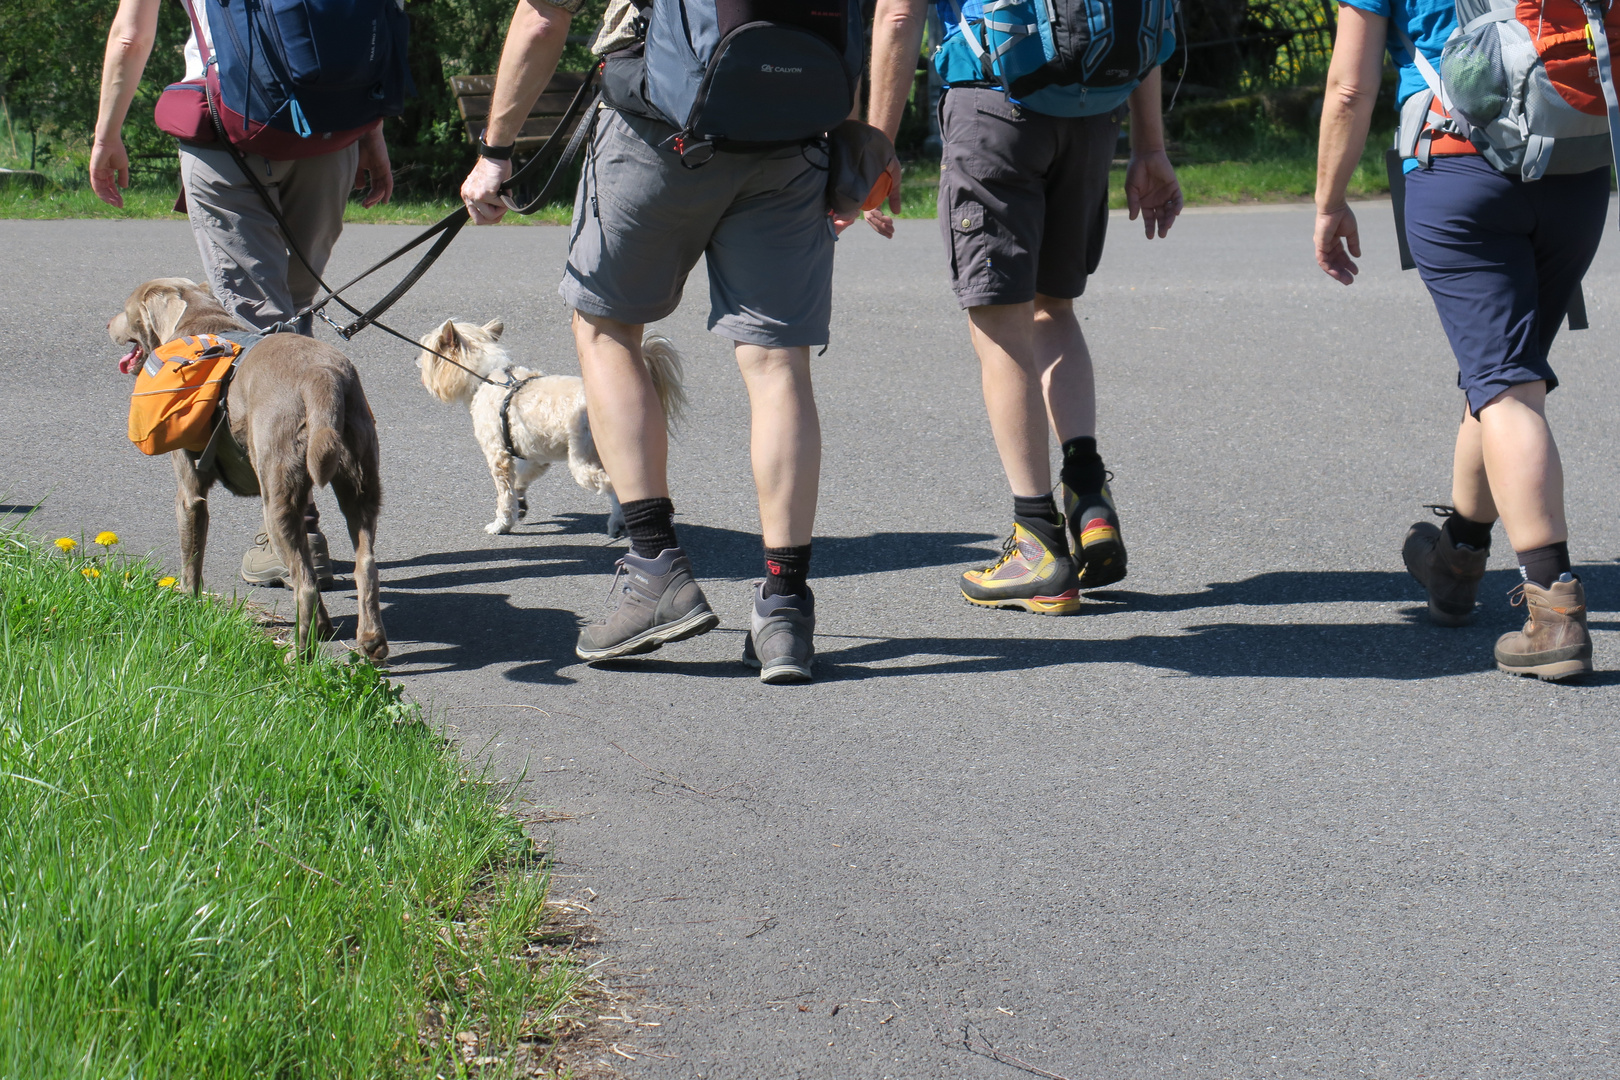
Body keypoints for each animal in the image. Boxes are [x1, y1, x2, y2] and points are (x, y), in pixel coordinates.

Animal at [109, 278, 387, 660]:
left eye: (126, 308)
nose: (109, 324)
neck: (199, 322)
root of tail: (322, 376)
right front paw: (326, 628)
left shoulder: (190, 493)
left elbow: (191, 558)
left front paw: (186, 605)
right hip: (358, 474)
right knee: (364, 565)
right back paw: (370, 641)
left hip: (278, 490)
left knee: (305, 583)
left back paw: (299, 654)